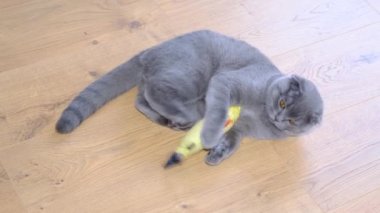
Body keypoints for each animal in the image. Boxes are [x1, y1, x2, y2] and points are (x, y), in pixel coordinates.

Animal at [56, 30, 324, 166]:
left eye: (293, 121)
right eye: (282, 103)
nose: (279, 117)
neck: (260, 115)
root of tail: (148, 52)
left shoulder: (240, 129)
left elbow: (233, 142)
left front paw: (217, 155)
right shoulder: (227, 82)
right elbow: (218, 113)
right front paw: (210, 138)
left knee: (140, 98)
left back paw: (167, 120)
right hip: (191, 75)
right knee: (155, 91)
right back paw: (182, 116)